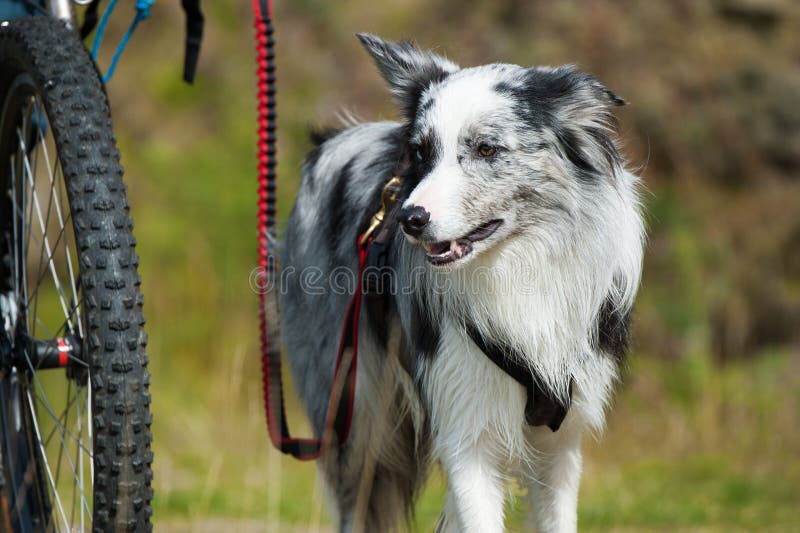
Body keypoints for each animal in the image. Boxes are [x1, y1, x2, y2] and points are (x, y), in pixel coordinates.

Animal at [278, 34, 648, 532]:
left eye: (487, 149)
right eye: (421, 152)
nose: (410, 219)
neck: (518, 267)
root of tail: (335, 139)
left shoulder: (560, 443)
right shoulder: (465, 428)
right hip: (356, 418)